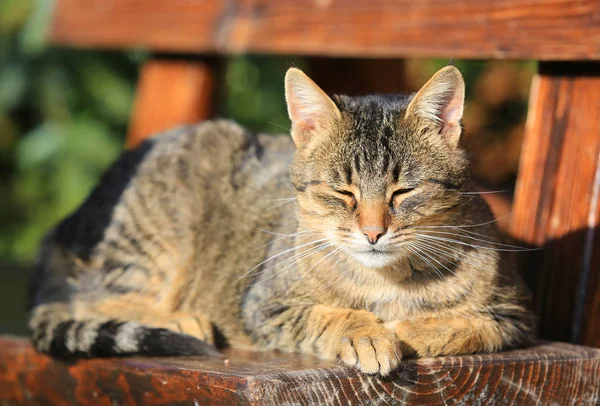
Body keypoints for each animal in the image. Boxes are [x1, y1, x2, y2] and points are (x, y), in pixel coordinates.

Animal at [28, 66, 536, 374]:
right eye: (343, 192)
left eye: (403, 192)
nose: (373, 232)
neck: (386, 282)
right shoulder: (263, 305)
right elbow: (330, 316)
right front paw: (368, 334)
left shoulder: (514, 316)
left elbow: (462, 325)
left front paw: (404, 329)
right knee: (91, 297)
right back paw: (180, 319)